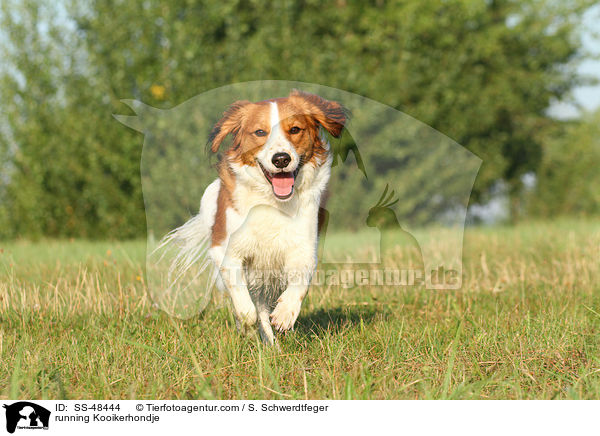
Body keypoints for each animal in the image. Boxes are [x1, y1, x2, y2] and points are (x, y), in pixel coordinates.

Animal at [171, 91, 346, 344]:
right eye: (260, 132)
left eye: (295, 129)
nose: (281, 159)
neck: (271, 201)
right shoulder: (225, 250)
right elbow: (245, 305)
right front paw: (246, 325)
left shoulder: (303, 247)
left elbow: (301, 279)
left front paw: (285, 312)